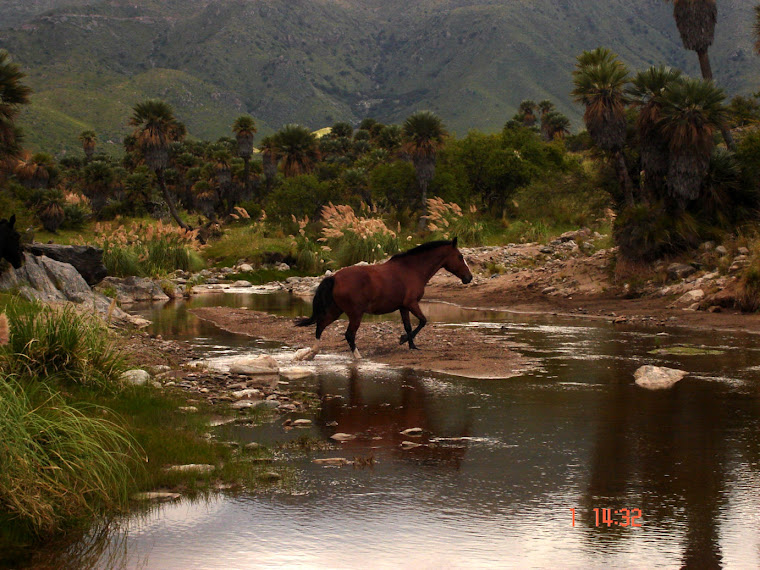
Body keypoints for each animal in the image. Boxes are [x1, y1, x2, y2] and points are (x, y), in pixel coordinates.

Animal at [296, 237, 470, 358]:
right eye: (460, 257)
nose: (469, 278)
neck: (412, 269)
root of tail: (334, 278)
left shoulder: (403, 307)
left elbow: (408, 326)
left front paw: (412, 346)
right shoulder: (412, 303)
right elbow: (422, 321)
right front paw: (403, 340)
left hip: (336, 311)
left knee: (320, 326)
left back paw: (311, 353)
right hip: (355, 314)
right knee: (348, 335)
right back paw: (358, 357)